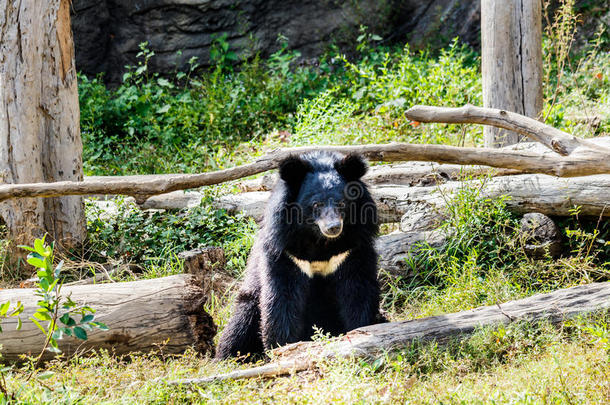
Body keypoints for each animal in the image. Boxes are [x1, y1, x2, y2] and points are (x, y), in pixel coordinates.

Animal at [215, 151, 380, 356]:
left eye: (342, 203)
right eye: (316, 204)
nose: (333, 227)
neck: (320, 241)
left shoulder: (350, 249)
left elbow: (357, 289)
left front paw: (360, 329)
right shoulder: (288, 251)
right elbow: (282, 296)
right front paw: (281, 345)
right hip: (249, 301)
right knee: (240, 324)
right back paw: (230, 355)